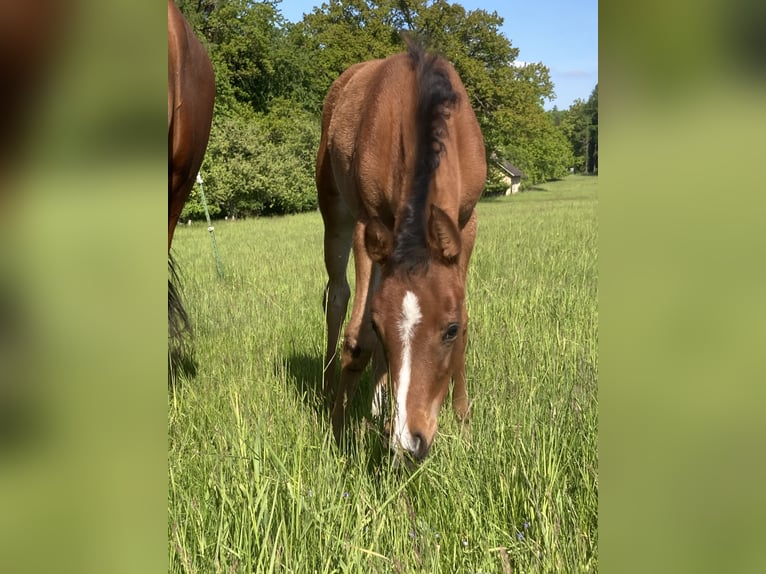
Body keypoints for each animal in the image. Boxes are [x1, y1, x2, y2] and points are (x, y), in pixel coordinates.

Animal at [317, 39, 486, 463]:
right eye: (381, 325)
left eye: (449, 329)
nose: (410, 442)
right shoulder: (369, 224)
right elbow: (358, 338)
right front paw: (338, 433)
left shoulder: (466, 223)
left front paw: (464, 425)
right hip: (335, 212)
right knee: (337, 295)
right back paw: (329, 389)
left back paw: (378, 407)